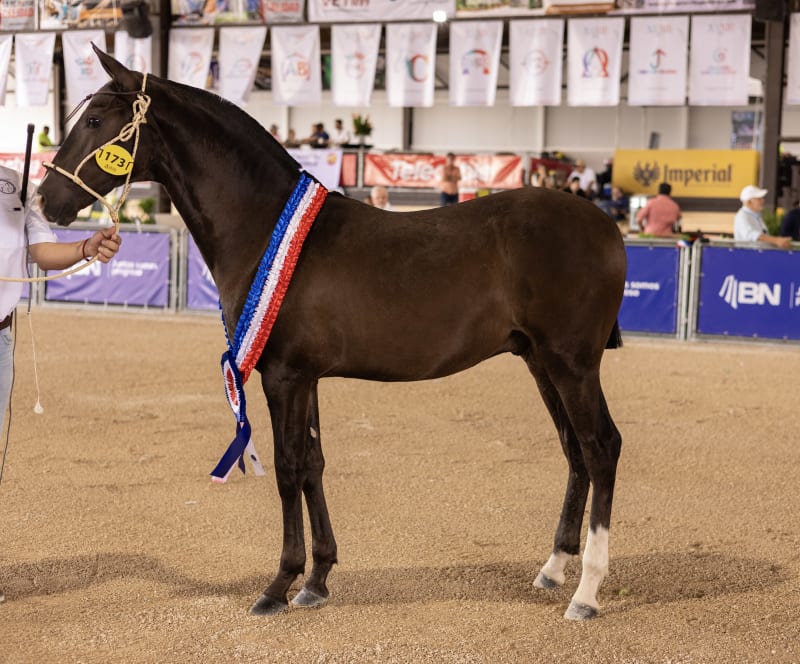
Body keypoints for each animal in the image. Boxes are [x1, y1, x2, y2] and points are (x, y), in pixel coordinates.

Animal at [37, 46, 626, 621]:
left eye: (94, 120)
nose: (46, 201)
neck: (265, 225)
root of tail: (606, 226)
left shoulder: (282, 376)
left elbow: (287, 468)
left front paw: (279, 584)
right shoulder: (307, 379)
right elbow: (314, 466)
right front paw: (317, 580)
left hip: (571, 364)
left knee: (601, 448)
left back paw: (586, 593)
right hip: (540, 361)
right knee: (574, 450)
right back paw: (553, 568)